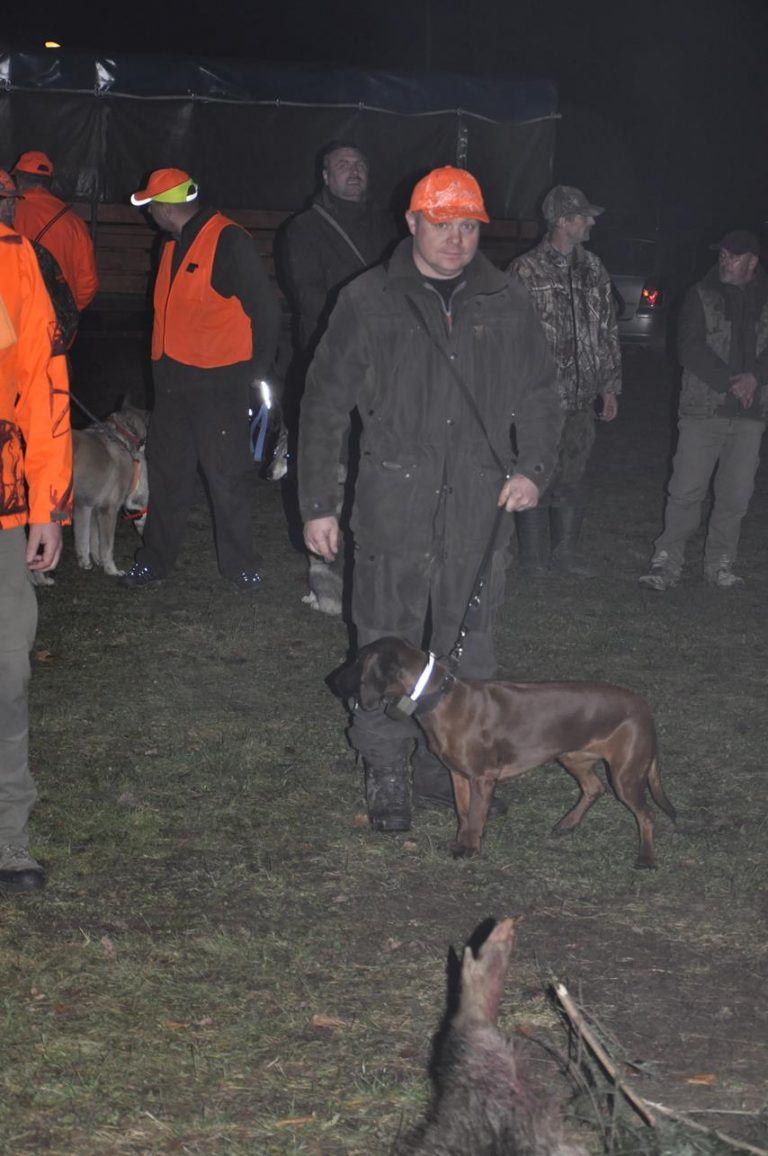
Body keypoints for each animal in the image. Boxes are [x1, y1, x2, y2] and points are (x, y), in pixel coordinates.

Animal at [340, 633, 675, 869]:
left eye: (357, 661)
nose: (333, 680)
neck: (441, 696)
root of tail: (644, 707)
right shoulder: (459, 775)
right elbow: (465, 813)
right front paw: (464, 841)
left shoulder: (483, 778)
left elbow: (476, 815)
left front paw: (470, 849)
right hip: (573, 757)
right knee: (595, 787)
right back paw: (567, 824)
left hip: (626, 774)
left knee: (646, 815)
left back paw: (646, 858)